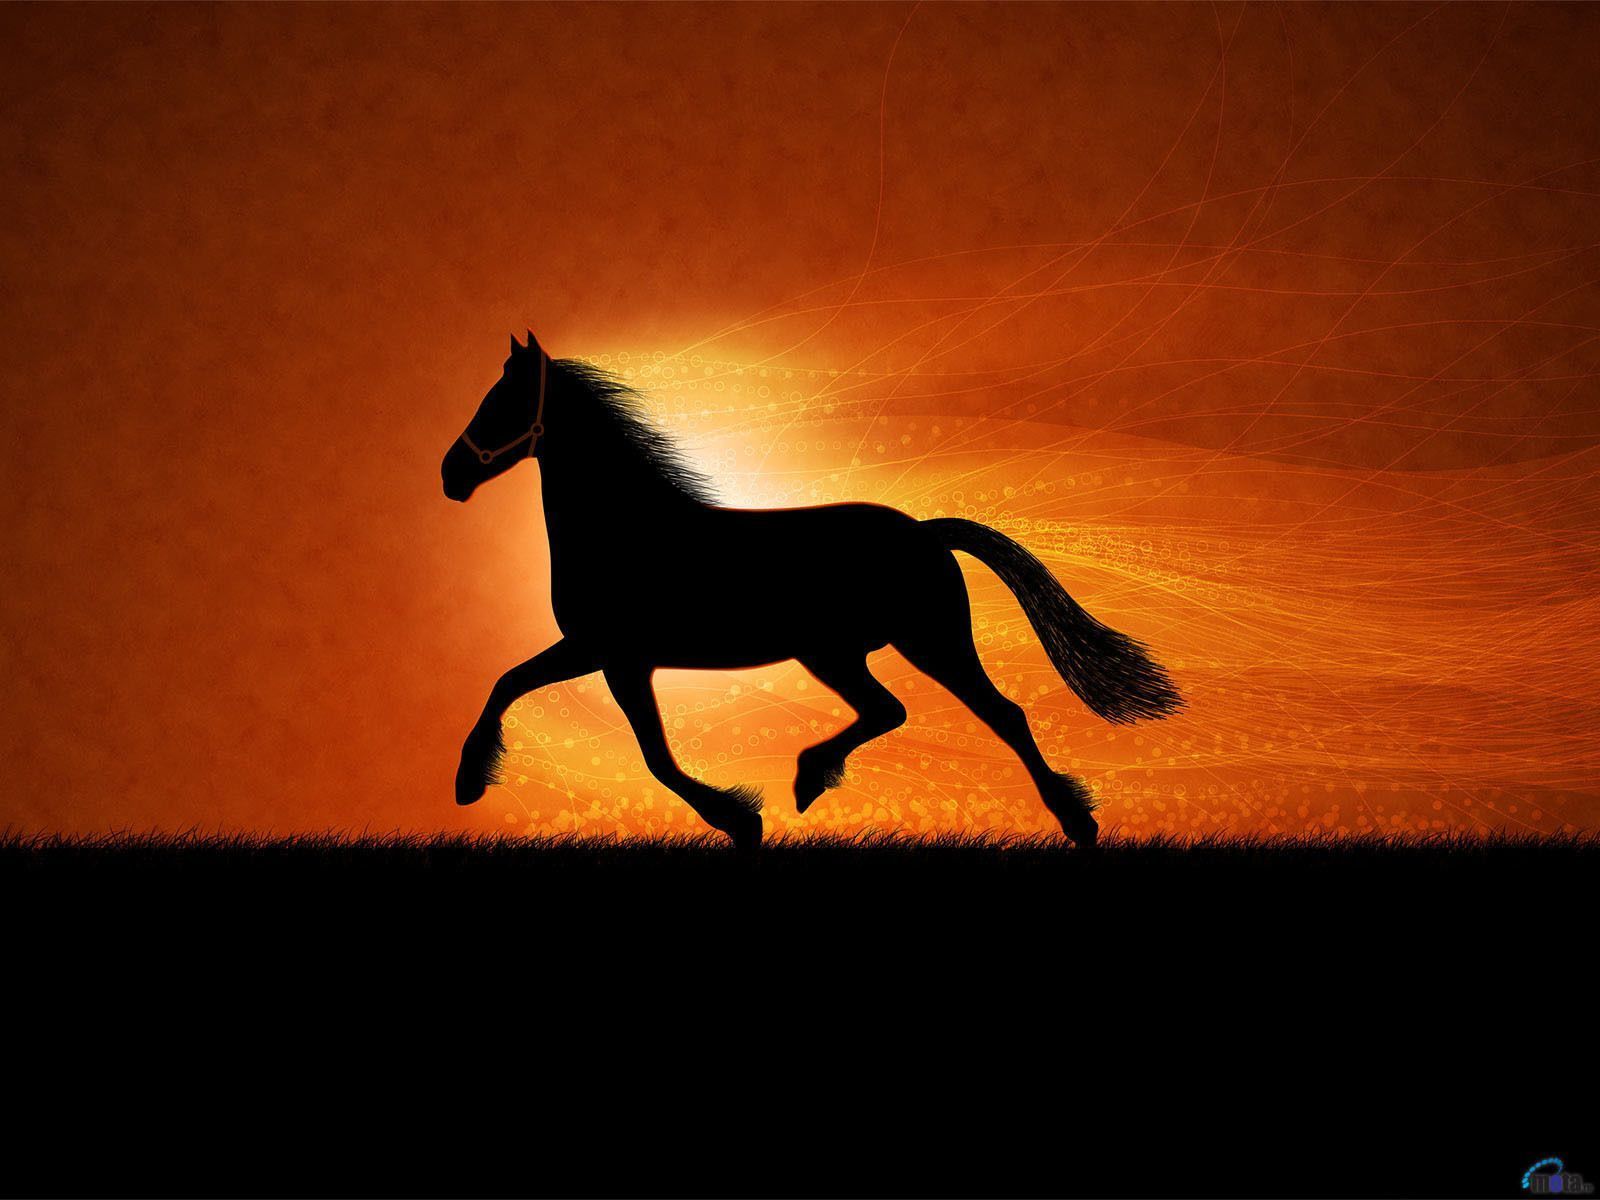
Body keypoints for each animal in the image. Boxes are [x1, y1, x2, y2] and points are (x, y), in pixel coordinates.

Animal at [442, 332, 1182, 850]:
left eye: (501, 402)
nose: (451, 475)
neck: (626, 528)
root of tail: (924, 531)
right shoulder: (601, 652)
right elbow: (511, 684)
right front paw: (470, 782)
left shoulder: (614, 655)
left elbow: (649, 753)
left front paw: (740, 820)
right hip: (840, 653)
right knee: (891, 711)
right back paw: (810, 778)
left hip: (922, 643)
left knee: (999, 715)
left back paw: (1075, 823)